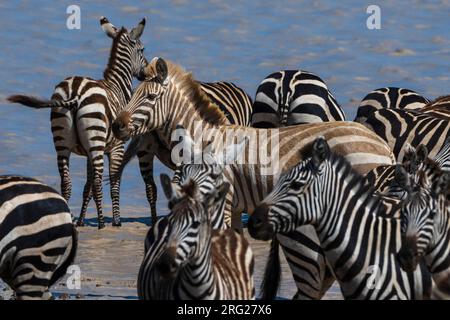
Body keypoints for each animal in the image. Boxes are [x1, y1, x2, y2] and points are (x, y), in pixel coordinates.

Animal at [7, 17, 148, 229]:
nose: (147, 73)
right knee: (97, 183)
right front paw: (116, 221)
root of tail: (75, 91)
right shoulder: (117, 147)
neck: (116, 86)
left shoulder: (89, 152)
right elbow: (113, 184)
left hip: (63, 141)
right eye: (142, 50)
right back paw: (101, 223)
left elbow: (86, 187)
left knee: (66, 183)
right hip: (95, 140)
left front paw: (81, 220)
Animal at [109, 80, 253, 225]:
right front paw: (155, 221)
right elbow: (151, 189)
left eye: (151, 97)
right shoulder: (145, 152)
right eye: (132, 95)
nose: (117, 126)